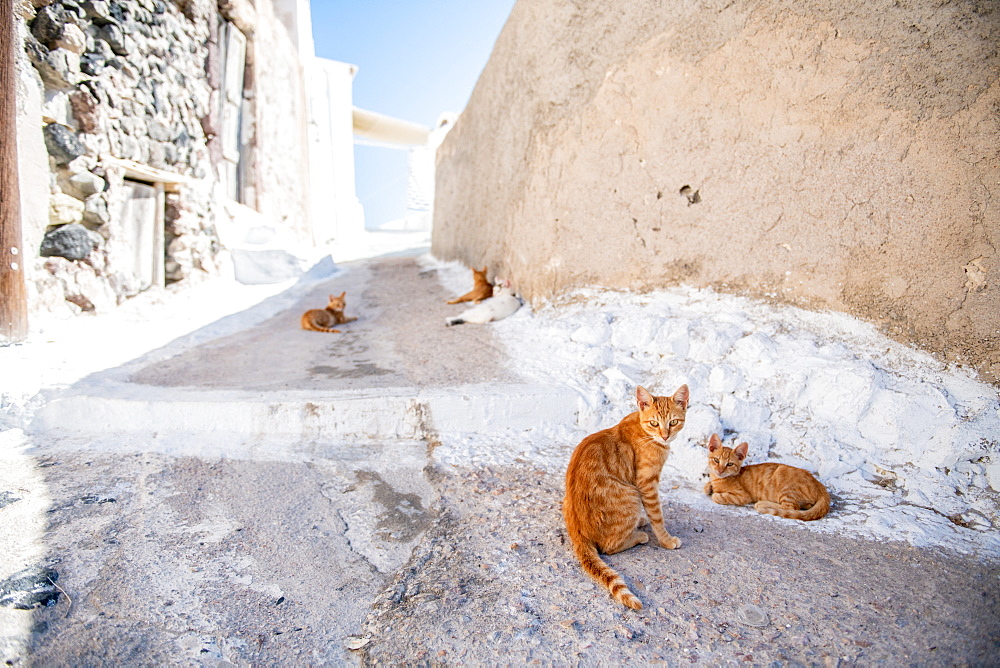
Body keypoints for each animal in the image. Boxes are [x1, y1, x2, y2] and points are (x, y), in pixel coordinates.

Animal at [564, 384, 688, 608]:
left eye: (673, 422)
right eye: (654, 423)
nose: (665, 436)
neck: (642, 427)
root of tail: (576, 531)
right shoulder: (647, 484)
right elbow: (658, 517)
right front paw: (666, 541)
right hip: (631, 494)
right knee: (609, 547)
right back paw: (638, 536)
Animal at [700, 434, 832, 520]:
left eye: (730, 464)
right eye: (716, 460)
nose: (720, 470)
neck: (718, 479)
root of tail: (820, 485)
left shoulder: (742, 496)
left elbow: (717, 497)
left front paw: (714, 493)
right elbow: (707, 487)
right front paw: (708, 487)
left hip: (784, 481)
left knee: (791, 507)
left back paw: (763, 504)